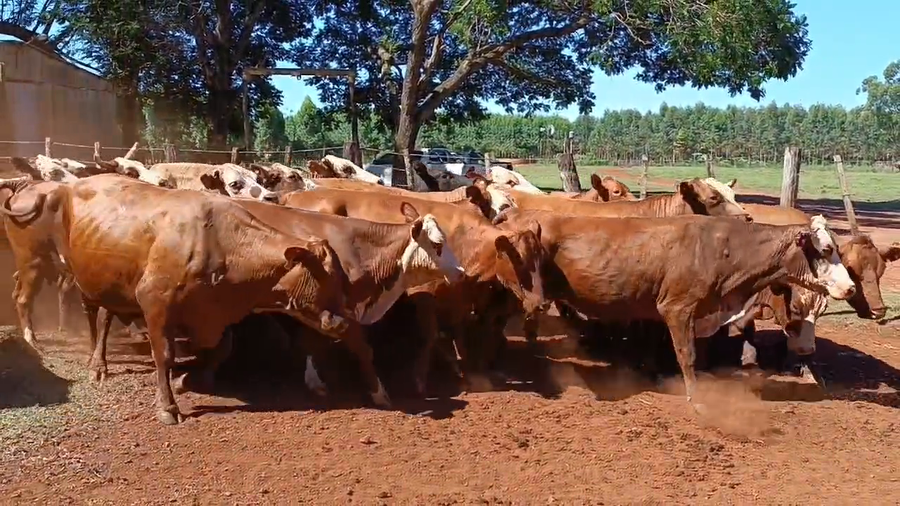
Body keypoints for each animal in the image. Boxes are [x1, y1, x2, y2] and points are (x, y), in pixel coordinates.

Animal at [279, 188, 546, 393]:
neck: (464, 241)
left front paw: (467, 371)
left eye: (540, 256)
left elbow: (458, 334)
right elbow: (430, 334)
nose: (541, 303)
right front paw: (420, 378)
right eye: (518, 259)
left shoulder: (459, 299)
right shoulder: (423, 296)